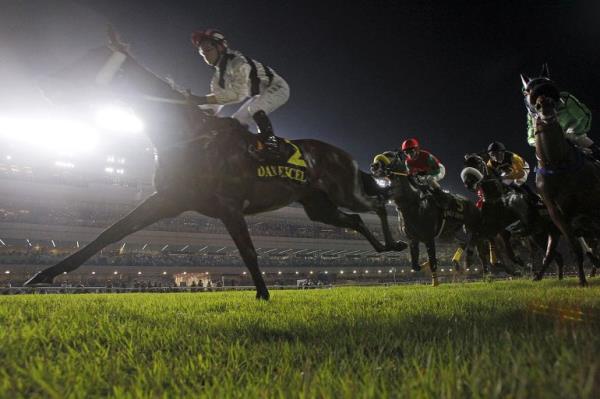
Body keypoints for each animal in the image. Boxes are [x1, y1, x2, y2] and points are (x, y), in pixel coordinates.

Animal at [24, 32, 408, 300]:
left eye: (93, 59)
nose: (42, 84)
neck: (187, 135)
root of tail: (341, 152)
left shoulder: (229, 206)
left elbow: (249, 253)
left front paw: (264, 295)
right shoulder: (167, 199)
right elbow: (110, 232)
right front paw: (43, 275)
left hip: (344, 190)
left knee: (377, 202)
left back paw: (397, 242)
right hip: (318, 207)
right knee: (355, 220)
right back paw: (383, 248)